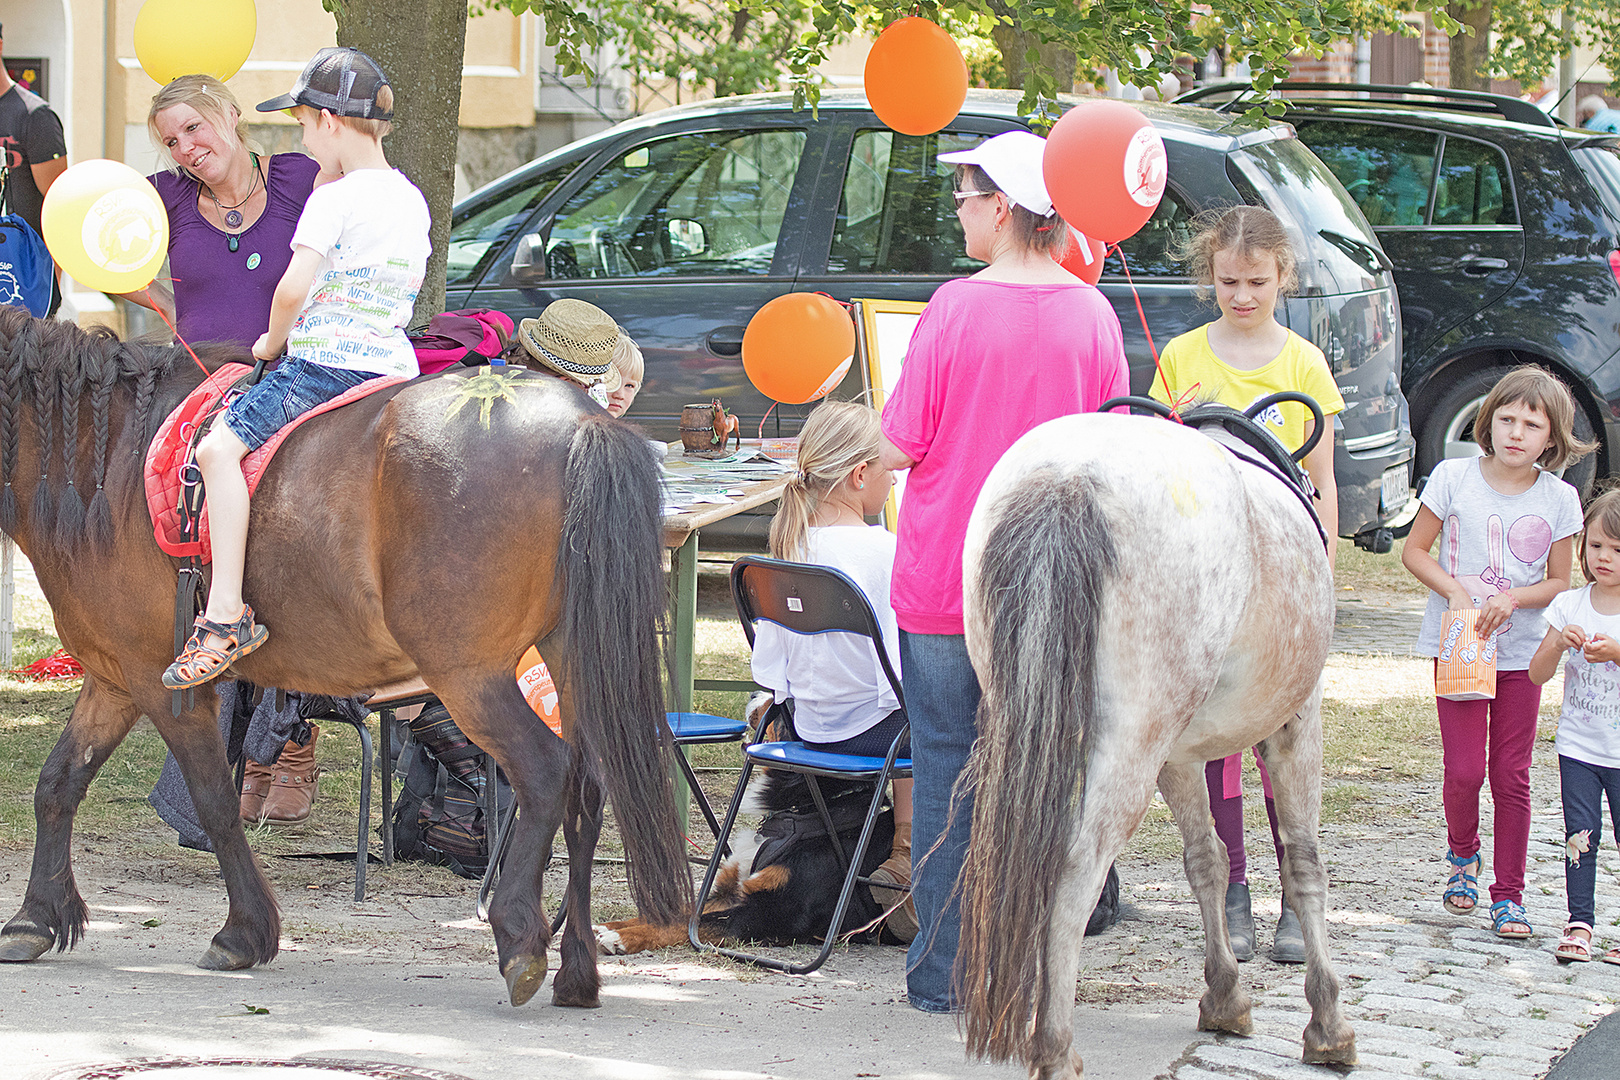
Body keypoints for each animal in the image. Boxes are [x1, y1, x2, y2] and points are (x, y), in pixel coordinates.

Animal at [0, 307, 690, 1010]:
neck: (105, 458)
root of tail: (584, 423)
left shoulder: (158, 681)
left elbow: (214, 800)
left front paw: (244, 931)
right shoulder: (113, 674)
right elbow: (58, 783)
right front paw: (34, 919)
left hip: (469, 675)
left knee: (547, 772)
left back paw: (520, 936)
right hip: (566, 659)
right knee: (588, 786)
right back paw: (577, 972)